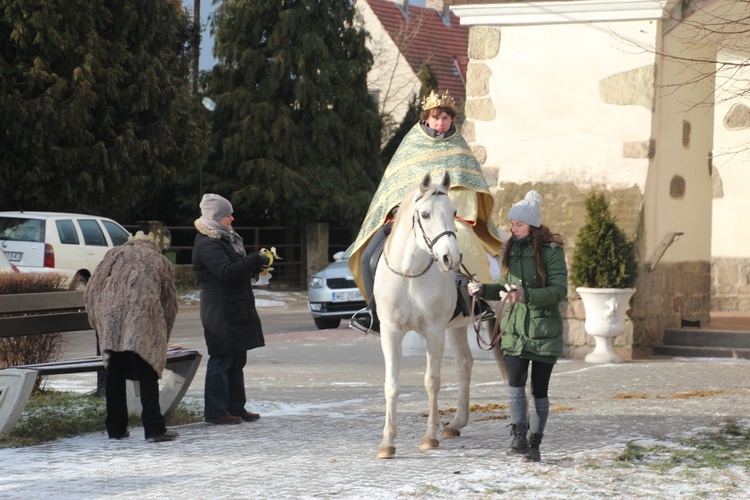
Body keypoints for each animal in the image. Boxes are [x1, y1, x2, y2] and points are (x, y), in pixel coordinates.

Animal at [376, 170, 506, 458]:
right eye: (424, 214)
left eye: (454, 211)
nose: (452, 258)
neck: (410, 275)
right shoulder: (390, 332)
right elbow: (391, 384)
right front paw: (387, 443)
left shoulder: (434, 332)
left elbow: (432, 381)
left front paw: (429, 437)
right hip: (457, 326)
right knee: (464, 364)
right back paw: (456, 424)